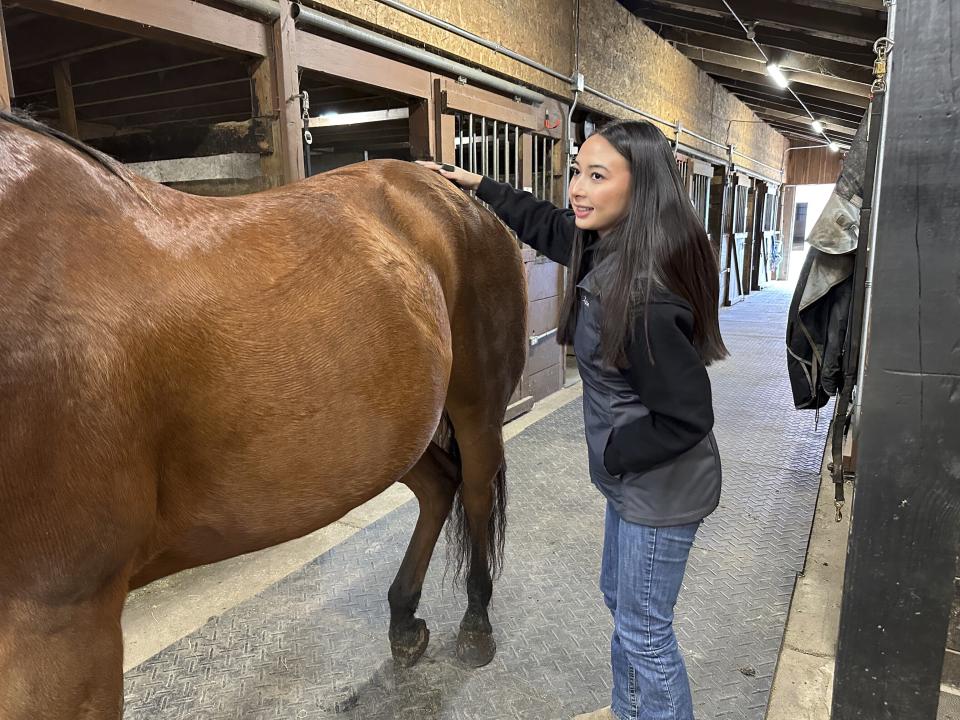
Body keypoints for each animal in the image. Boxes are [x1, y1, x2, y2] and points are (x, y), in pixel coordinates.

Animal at [0, 109, 524, 716]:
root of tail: (454, 193)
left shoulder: (63, 625)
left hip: (475, 407)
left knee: (477, 492)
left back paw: (476, 625)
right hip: (388, 434)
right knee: (440, 486)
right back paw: (403, 621)